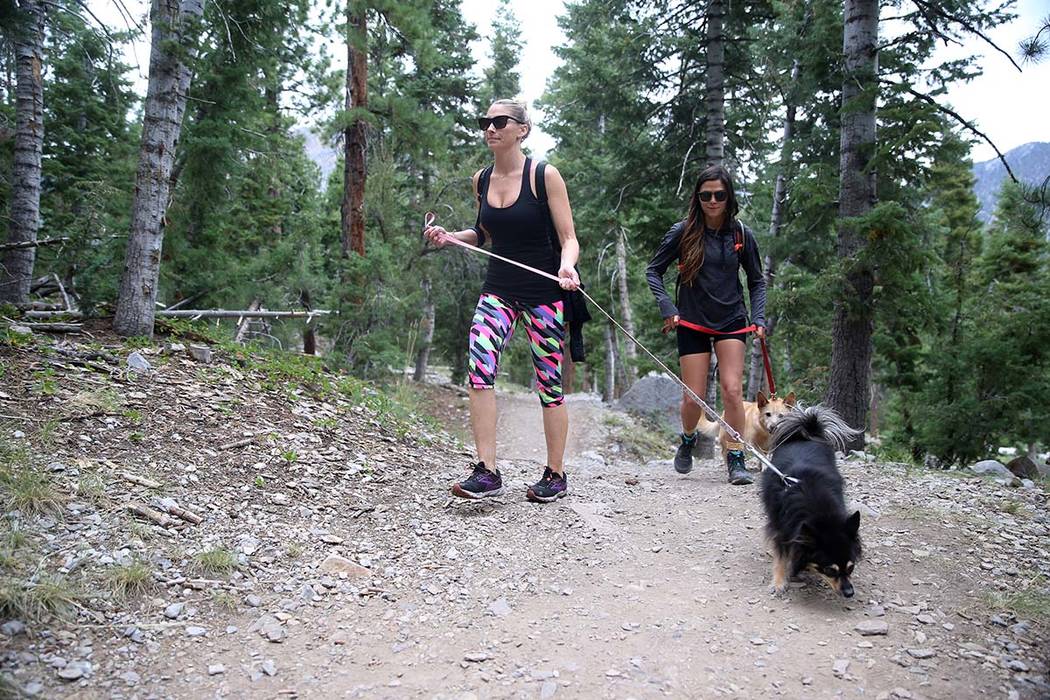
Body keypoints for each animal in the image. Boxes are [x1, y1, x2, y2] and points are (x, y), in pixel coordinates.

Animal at [764, 405, 860, 596]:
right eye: (830, 570)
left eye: (851, 568)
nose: (849, 593)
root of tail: (805, 433)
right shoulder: (782, 528)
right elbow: (781, 556)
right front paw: (778, 582)